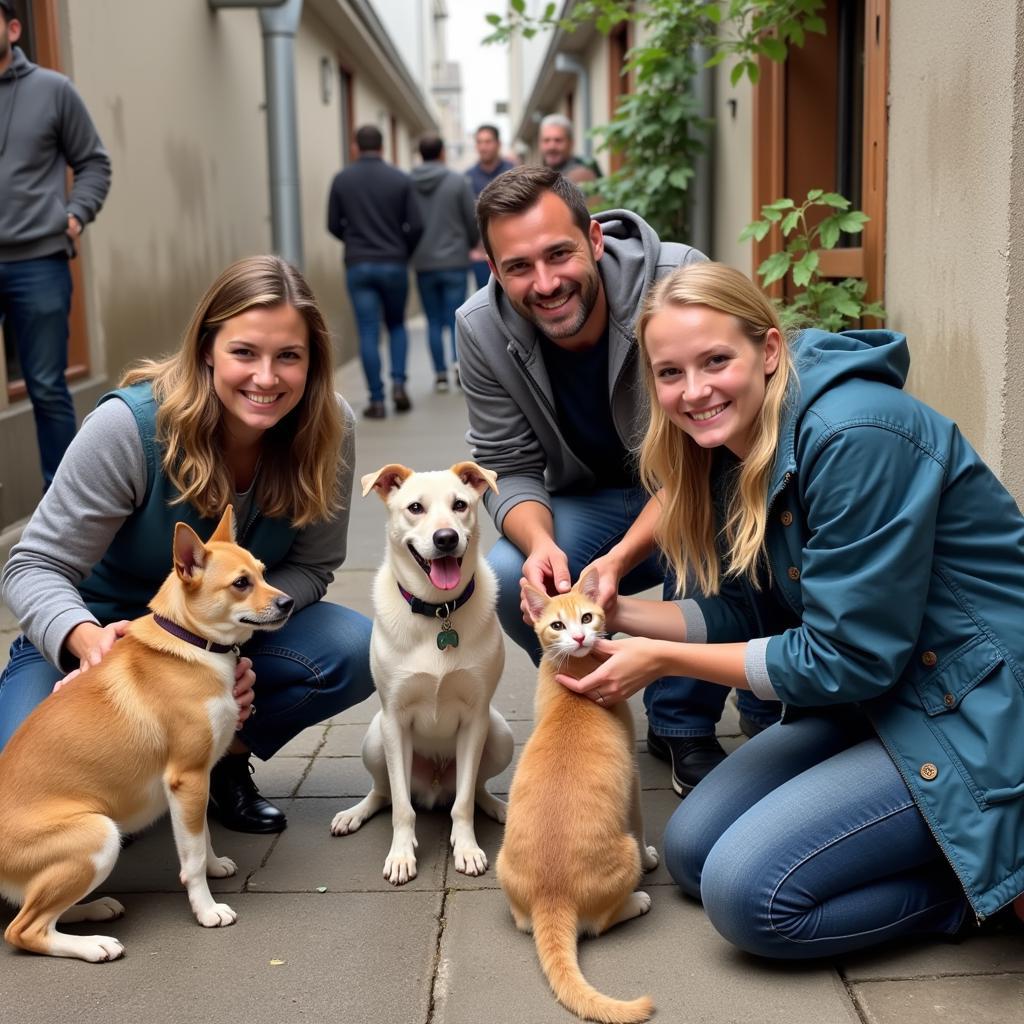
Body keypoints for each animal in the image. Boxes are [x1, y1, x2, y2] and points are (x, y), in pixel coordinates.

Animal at [0, 507, 292, 962]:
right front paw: (207, 910)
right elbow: (190, 859)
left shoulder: (196, 782)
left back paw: (95, 908)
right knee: (24, 929)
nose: (287, 601)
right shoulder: (187, 777)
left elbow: (200, 836)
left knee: (36, 911)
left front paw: (214, 866)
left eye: (263, 573)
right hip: (100, 834)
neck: (193, 646)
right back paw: (94, 945)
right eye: (241, 583)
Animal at [331, 460, 516, 884]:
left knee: (473, 789)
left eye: (460, 504)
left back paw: (496, 806)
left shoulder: (476, 719)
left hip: (499, 734)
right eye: (415, 507)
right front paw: (401, 855)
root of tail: (433, 786)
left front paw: (467, 848)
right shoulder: (395, 719)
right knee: (384, 791)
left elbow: (463, 803)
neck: (438, 611)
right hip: (375, 740)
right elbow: (402, 807)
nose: (446, 538)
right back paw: (354, 814)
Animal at [493, 569, 655, 1024]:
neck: (574, 684)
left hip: (501, 867)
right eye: (557, 625)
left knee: (523, 923)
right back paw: (637, 900)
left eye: (585, 616)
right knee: (599, 923)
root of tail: (552, 897)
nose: (581, 637)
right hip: (623, 854)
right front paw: (654, 858)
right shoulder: (633, 778)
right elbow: (640, 821)